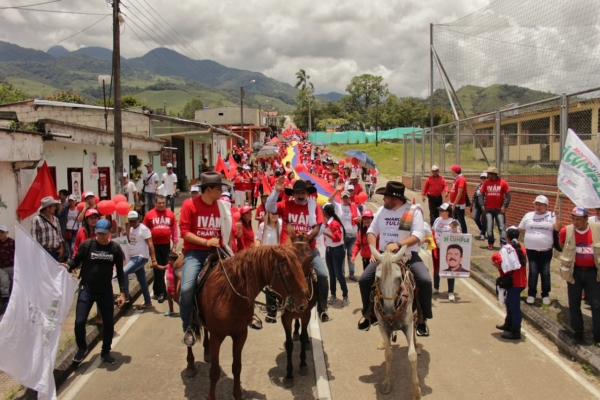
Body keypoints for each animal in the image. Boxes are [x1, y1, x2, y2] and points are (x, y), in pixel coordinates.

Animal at [193, 245, 310, 398]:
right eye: (288, 276)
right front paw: (210, 397)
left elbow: (237, 367)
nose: (303, 305)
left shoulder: (241, 334)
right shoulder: (216, 337)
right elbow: (214, 371)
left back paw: (206, 352)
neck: (228, 296)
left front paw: (237, 395)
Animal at [370, 245, 422, 398]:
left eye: (398, 278)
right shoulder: (383, 326)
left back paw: (417, 344)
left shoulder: (408, 325)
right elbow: (388, 355)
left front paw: (415, 391)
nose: (388, 310)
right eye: (377, 277)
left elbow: (412, 356)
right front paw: (387, 383)